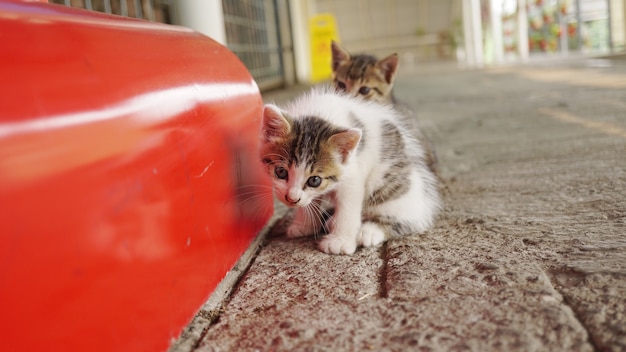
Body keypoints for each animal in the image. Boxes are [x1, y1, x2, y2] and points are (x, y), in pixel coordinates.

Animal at [258, 86, 438, 254]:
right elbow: (309, 201)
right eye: (281, 172)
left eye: (314, 180)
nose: (291, 199)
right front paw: (304, 225)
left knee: (408, 218)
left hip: (389, 186)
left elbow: (348, 207)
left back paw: (369, 231)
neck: (321, 112)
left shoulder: (353, 176)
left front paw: (340, 242)